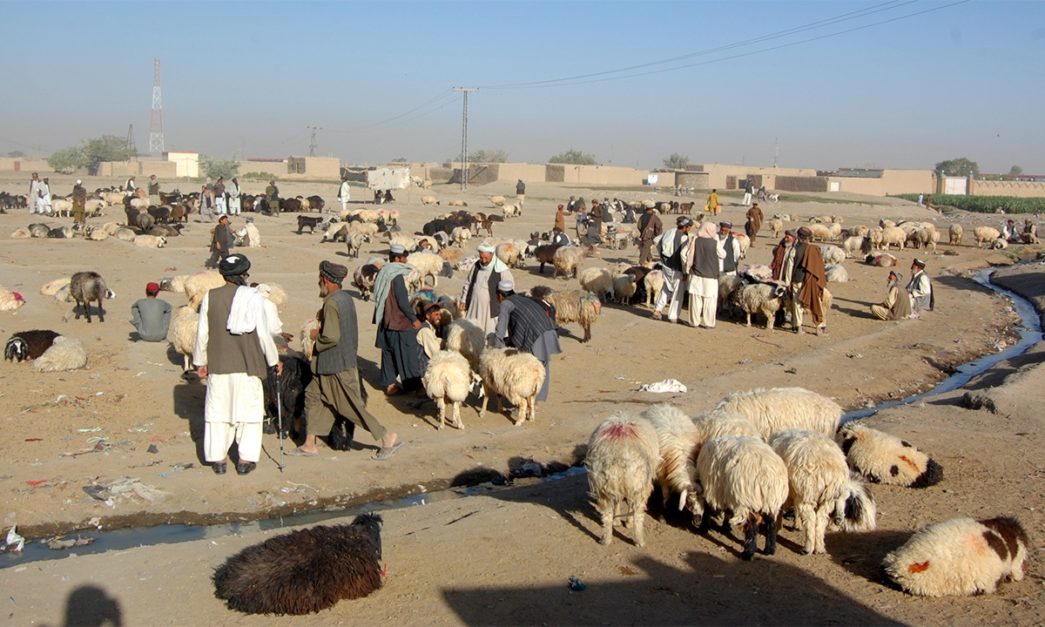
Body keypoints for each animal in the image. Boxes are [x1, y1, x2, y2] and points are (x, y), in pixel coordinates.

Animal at [585, 413, 656, 547]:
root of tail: (618, 451)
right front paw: (627, 522)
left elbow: (618, 501)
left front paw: (617, 521)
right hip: (639, 484)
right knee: (638, 514)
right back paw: (639, 540)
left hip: (603, 484)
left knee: (606, 515)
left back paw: (606, 539)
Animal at [689, 436, 785, 564]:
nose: (695, 521)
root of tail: (767, 476)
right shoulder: (727, 493)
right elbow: (728, 511)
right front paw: (725, 527)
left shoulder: (711, 490)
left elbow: (708, 509)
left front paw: (704, 528)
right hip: (771, 502)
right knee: (771, 524)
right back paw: (769, 550)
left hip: (748, 501)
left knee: (752, 526)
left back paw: (747, 553)